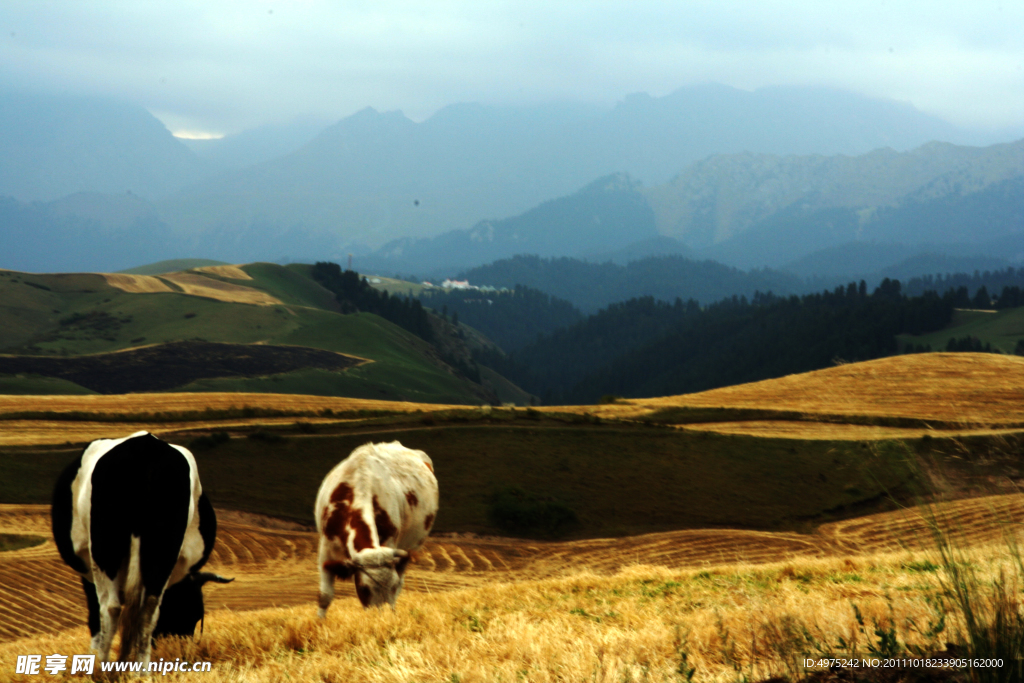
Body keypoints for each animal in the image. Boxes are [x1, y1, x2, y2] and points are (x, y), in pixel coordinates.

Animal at [50, 432, 231, 667]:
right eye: (190, 613)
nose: (184, 649)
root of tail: (147, 447)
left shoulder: (88, 571)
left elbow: (95, 617)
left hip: (105, 549)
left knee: (110, 607)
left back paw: (102, 668)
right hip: (162, 549)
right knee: (148, 611)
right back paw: (140, 669)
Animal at [313, 440, 438, 618]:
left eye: (392, 586)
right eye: (364, 588)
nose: (382, 616)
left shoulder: (391, 543)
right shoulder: (326, 548)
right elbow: (325, 596)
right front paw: (319, 623)